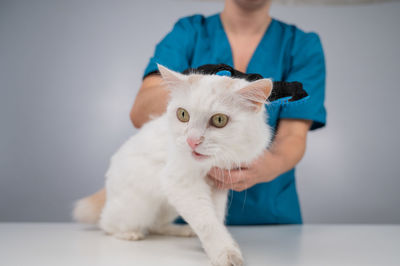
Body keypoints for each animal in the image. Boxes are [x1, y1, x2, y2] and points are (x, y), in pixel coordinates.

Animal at [72, 64, 272, 266]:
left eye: (219, 120)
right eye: (183, 115)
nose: (192, 141)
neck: (208, 164)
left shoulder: (217, 186)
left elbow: (216, 217)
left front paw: (217, 246)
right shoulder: (182, 183)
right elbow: (207, 222)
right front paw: (225, 253)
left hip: (167, 207)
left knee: (156, 225)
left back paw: (183, 231)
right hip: (138, 207)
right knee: (107, 223)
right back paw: (130, 234)